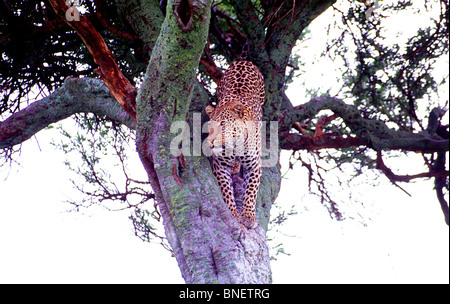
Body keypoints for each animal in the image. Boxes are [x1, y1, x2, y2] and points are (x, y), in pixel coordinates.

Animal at [206, 60, 266, 228]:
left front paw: (248, 216)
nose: (210, 142)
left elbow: (251, 191)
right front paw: (233, 212)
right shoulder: (220, 166)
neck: (235, 145)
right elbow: (226, 190)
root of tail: (243, 60)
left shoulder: (254, 165)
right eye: (209, 127)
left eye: (223, 124)